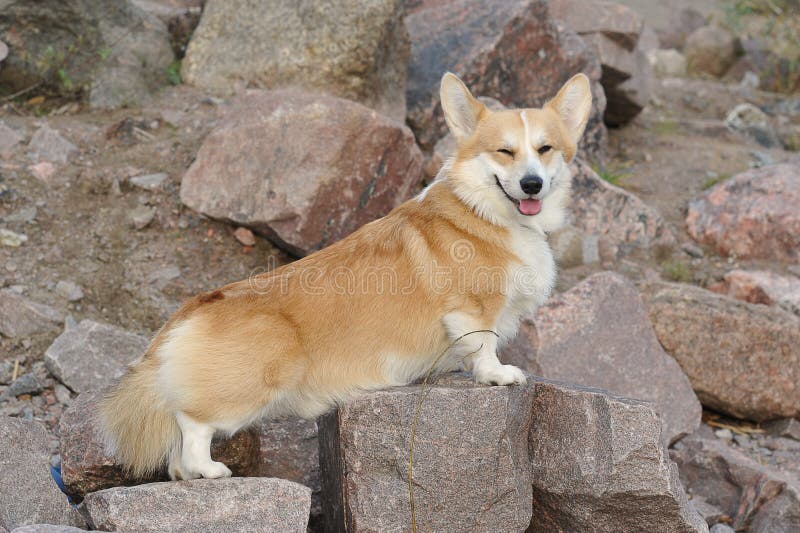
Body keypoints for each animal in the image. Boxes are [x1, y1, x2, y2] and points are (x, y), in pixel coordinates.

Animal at [98, 69, 588, 478]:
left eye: (545, 149)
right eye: (505, 151)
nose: (531, 184)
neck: (487, 212)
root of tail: (183, 315)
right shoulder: (473, 309)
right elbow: (483, 347)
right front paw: (498, 375)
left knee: (177, 459)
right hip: (258, 377)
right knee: (192, 423)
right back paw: (214, 470)